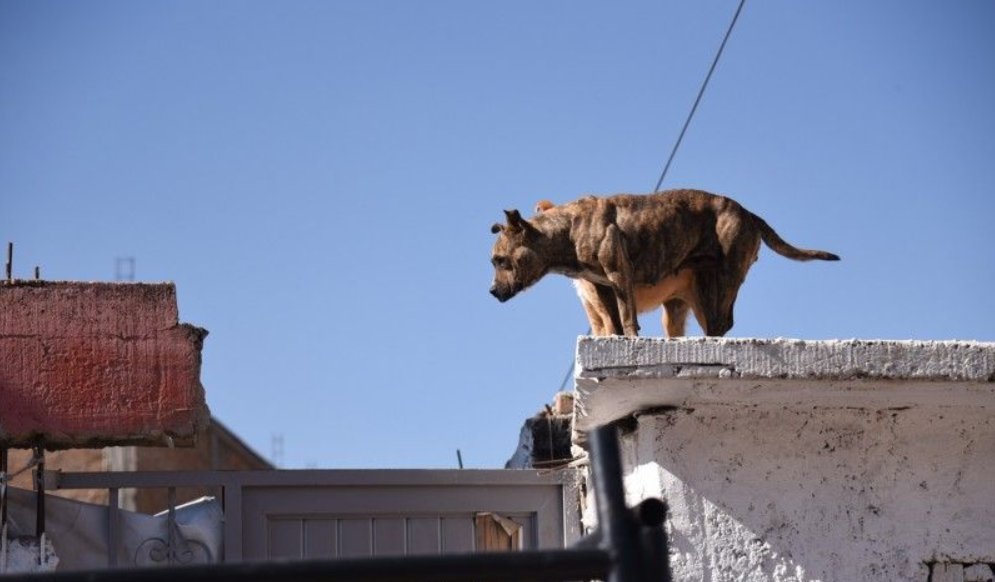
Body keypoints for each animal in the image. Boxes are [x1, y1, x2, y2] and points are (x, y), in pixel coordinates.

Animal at [490, 192, 840, 338]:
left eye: (500, 260)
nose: (492, 291)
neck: (568, 230)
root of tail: (749, 212)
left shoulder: (619, 276)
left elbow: (627, 320)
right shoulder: (603, 292)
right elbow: (614, 326)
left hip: (724, 278)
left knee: (721, 322)